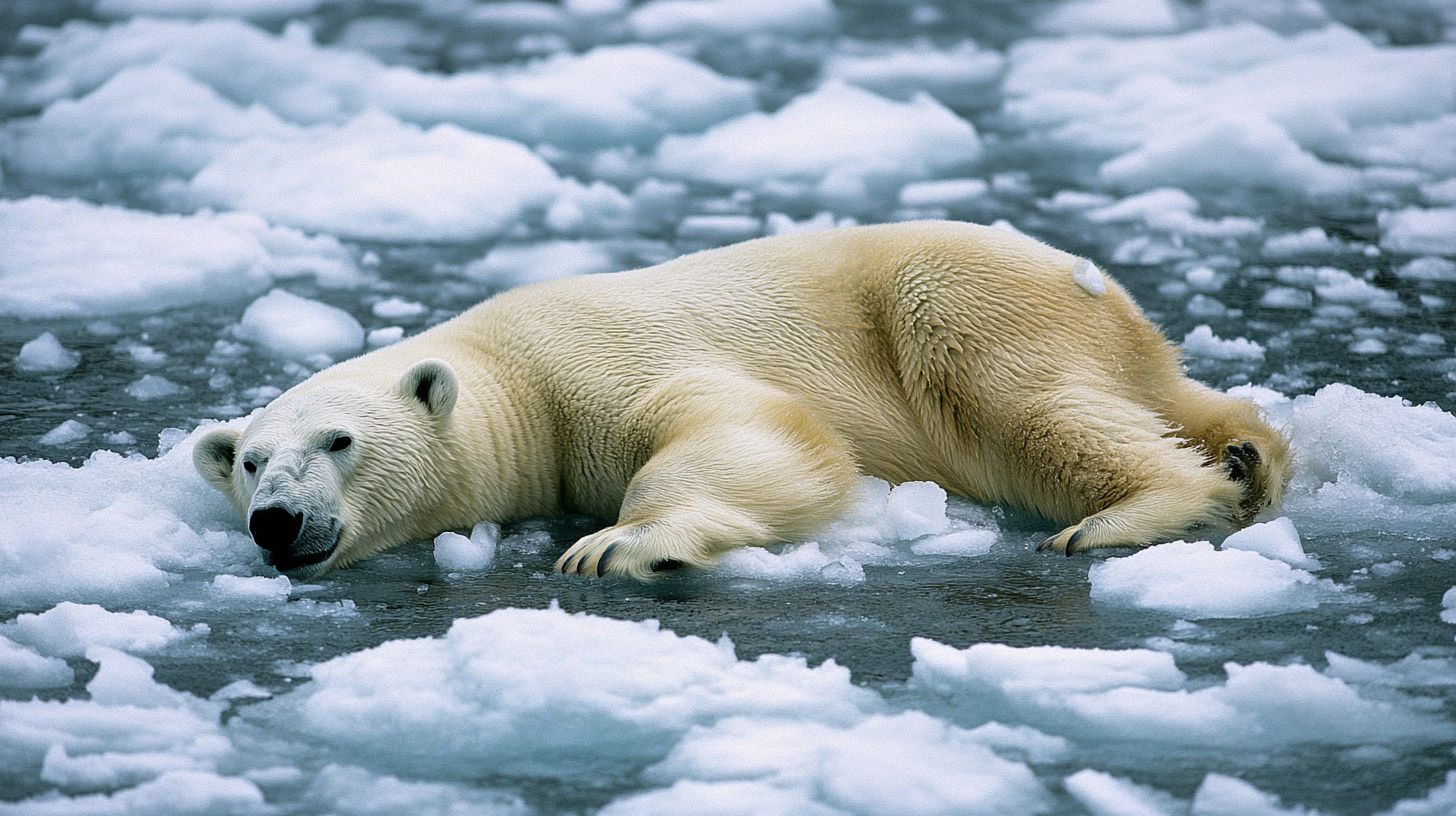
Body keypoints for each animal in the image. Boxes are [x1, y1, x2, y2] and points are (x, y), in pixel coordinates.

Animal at [190, 222, 1287, 579]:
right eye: (248, 460)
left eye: (339, 441)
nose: (274, 520)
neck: (510, 370)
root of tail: (1087, 280)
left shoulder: (598, 365)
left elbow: (749, 429)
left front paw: (618, 545)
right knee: (1159, 392)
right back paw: (1245, 456)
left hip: (952, 299)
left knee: (1024, 406)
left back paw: (1126, 515)